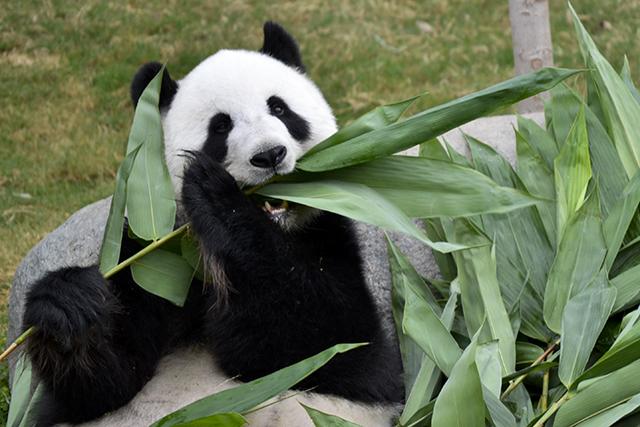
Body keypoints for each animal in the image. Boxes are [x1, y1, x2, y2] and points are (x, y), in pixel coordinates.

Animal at [22, 22, 403, 426]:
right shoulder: (154, 261)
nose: (270, 155)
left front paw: (217, 198)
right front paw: (67, 303)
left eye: (280, 108)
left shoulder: (328, 234)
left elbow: (335, 346)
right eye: (220, 126)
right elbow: (106, 384)